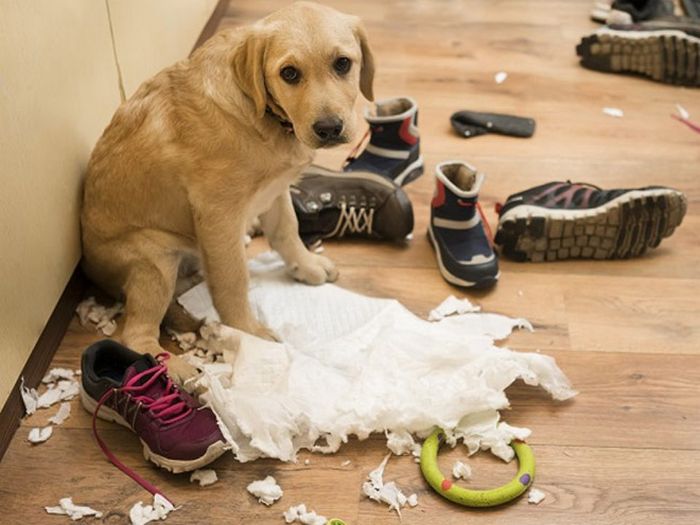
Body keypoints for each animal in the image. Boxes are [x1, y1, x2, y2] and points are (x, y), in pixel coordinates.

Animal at [80, 2, 374, 382]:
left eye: (342, 64)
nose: (328, 128)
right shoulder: (218, 214)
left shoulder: (275, 190)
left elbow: (287, 231)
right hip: (154, 261)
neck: (262, 115)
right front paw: (248, 333)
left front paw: (306, 265)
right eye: (289, 73)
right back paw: (177, 368)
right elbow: (232, 280)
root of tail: (91, 269)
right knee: (135, 333)